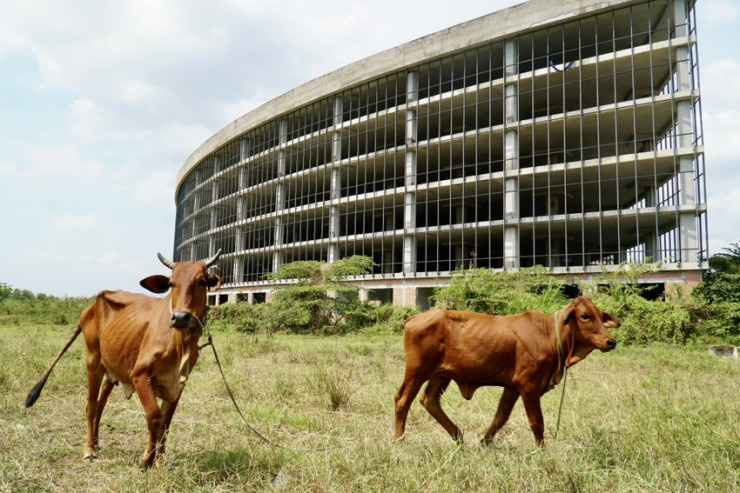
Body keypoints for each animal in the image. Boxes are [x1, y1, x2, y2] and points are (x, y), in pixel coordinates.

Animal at [26, 252, 223, 468]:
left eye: (202, 281)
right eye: (171, 283)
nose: (180, 317)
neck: (180, 343)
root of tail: (90, 307)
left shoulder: (177, 384)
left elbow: (166, 422)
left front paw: (160, 461)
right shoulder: (140, 374)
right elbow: (154, 417)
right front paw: (147, 458)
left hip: (110, 371)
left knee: (100, 404)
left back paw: (97, 442)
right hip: (93, 360)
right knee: (90, 405)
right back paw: (89, 449)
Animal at [394, 298, 620, 444]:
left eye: (601, 316)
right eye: (585, 316)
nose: (611, 341)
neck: (549, 335)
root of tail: (413, 318)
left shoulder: (512, 387)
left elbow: (500, 418)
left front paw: (484, 442)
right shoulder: (528, 385)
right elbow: (537, 421)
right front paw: (542, 451)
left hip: (442, 374)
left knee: (429, 400)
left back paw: (458, 437)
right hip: (417, 370)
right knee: (402, 400)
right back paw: (399, 440)